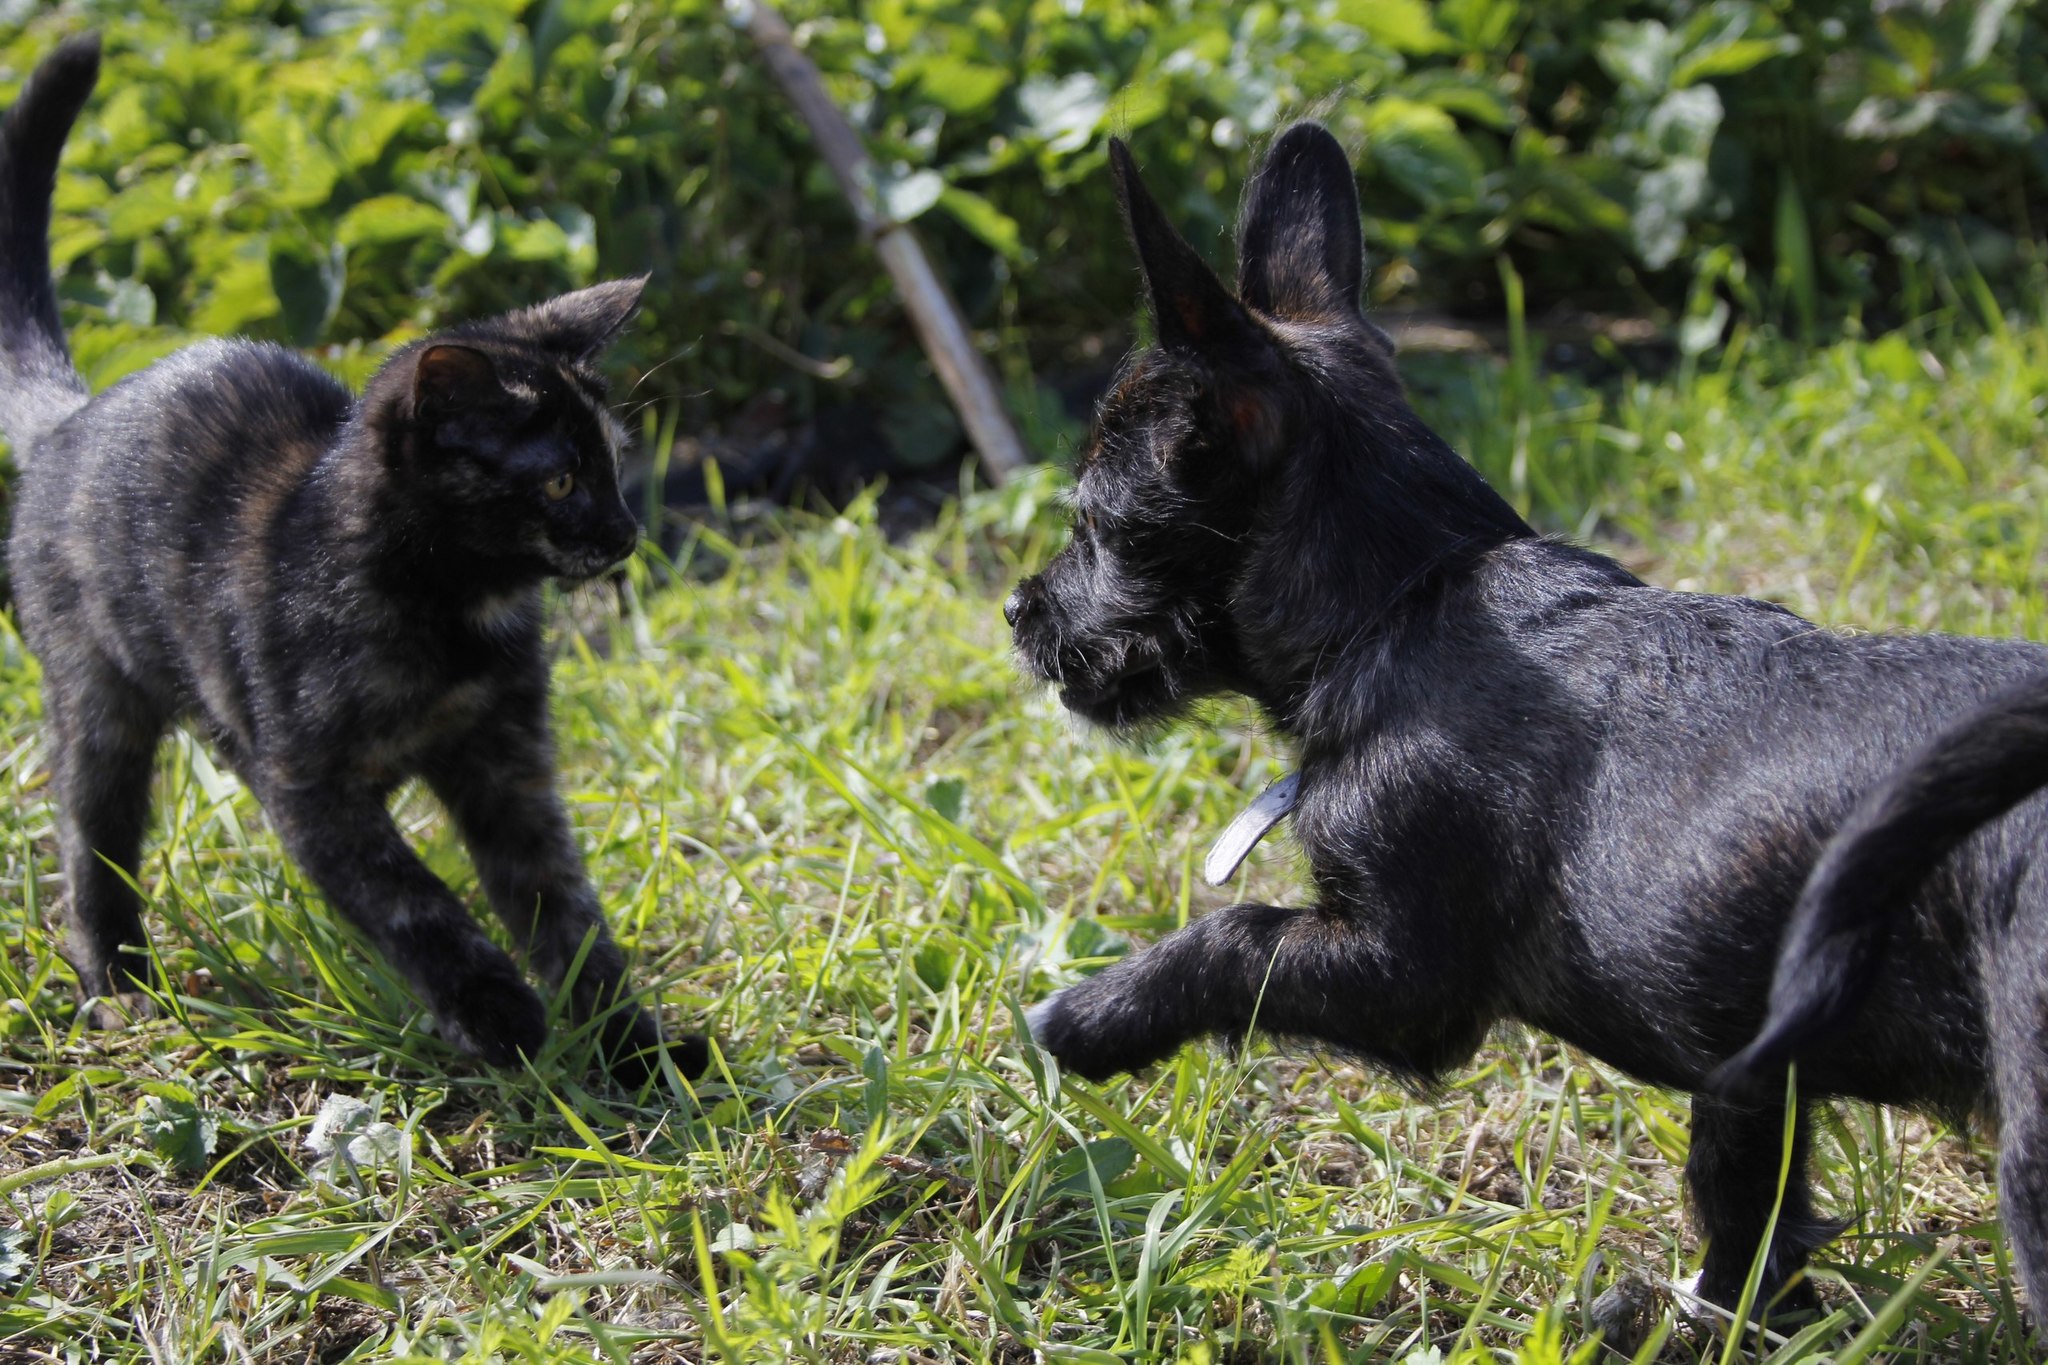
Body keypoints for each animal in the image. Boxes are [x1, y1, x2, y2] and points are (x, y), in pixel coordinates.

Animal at [6, 34, 712, 1088]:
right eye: (558, 481)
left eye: (618, 464)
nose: (624, 535)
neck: (451, 609)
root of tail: (69, 420)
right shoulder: (314, 792)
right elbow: (416, 902)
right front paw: (499, 1014)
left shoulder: (509, 765)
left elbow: (565, 909)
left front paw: (630, 1047)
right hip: (98, 704)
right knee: (89, 844)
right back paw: (118, 987)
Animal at [1015, 122, 2048, 1317]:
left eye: (1096, 526)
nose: (1018, 610)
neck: (1404, 602)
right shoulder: (1745, 1070)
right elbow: (1744, 1202)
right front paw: (1721, 1315)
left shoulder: (1406, 975)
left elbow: (1231, 937)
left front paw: (1089, 1016)